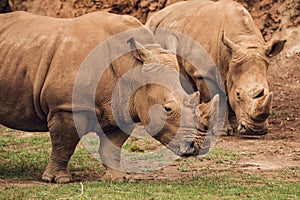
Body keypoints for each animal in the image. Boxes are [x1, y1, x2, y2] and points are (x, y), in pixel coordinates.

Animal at [0, 10, 220, 183]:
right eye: (168, 109)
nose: (197, 147)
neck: (132, 67)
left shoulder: (122, 106)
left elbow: (112, 147)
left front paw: (118, 178)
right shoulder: (67, 106)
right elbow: (64, 144)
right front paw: (56, 180)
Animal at [147, 0, 286, 136]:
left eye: (267, 91)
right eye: (238, 94)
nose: (256, 130)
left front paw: (235, 128)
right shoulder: (204, 74)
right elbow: (218, 99)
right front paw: (222, 131)